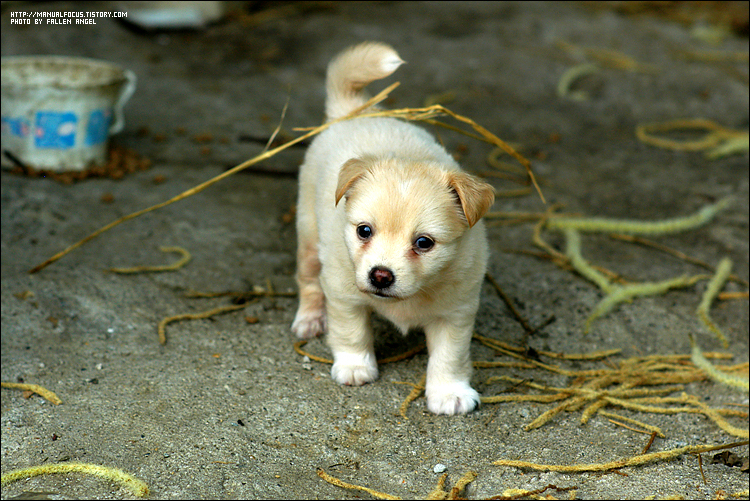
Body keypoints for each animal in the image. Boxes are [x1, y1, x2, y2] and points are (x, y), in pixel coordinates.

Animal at [290, 41, 496, 414]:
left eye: (424, 242)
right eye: (364, 231)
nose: (380, 276)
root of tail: (358, 112)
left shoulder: (456, 313)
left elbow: (450, 356)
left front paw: (449, 392)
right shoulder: (343, 295)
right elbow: (352, 331)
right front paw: (355, 366)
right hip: (310, 238)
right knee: (309, 281)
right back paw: (310, 320)